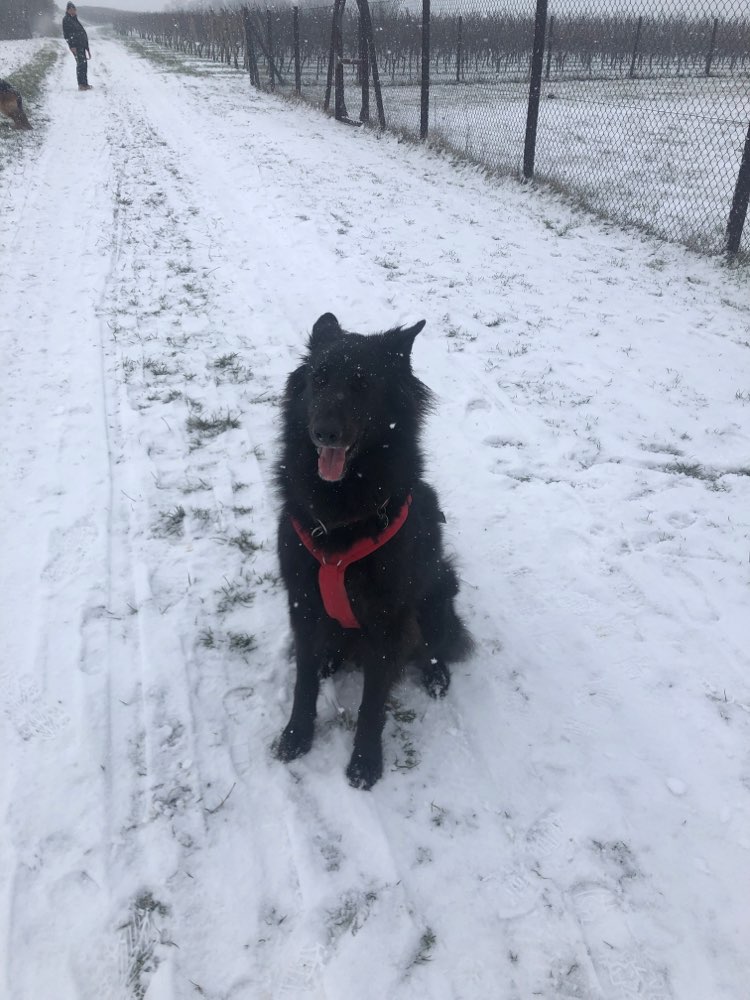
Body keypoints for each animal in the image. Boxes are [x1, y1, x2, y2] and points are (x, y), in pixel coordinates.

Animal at [274, 312, 472, 788]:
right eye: (319, 378)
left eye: (362, 383)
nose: (324, 432)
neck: (342, 513)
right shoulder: (302, 602)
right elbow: (304, 681)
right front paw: (296, 735)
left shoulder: (387, 618)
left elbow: (372, 702)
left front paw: (365, 761)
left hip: (439, 590)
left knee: (437, 642)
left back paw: (436, 673)